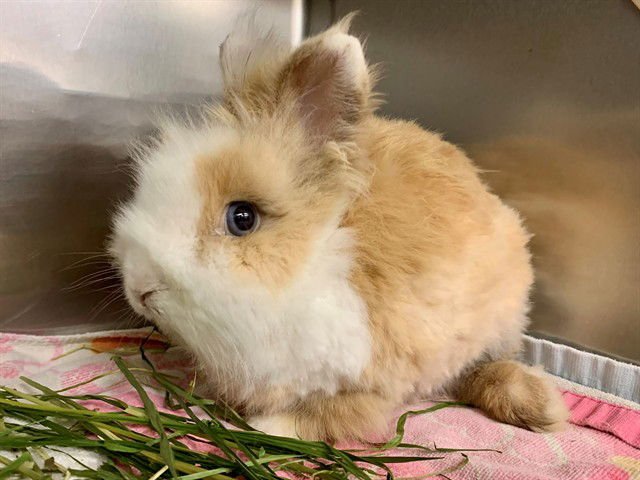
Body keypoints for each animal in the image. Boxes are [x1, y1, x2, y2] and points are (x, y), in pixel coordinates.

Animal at [110, 15, 568, 441]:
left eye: (242, 218)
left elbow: (329, 415)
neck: (315, 262)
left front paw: (263, 426)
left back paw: (544, 410)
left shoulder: (370, 378)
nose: (140, 289)